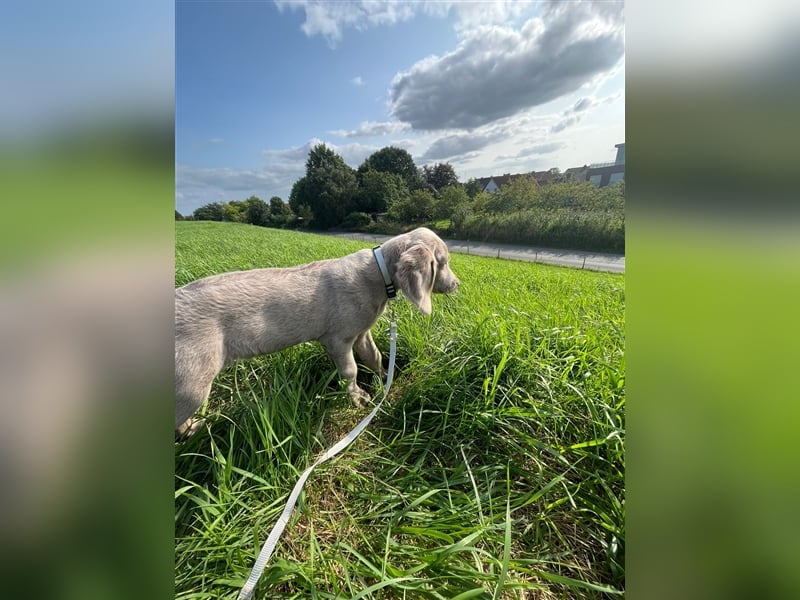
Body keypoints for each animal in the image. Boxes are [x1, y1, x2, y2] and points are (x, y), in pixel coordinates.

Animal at [175, 227, 462, 434]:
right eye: (444, 262)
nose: (457, 284)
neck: (379, 274)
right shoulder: (338, 339)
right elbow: (350, 370)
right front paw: (358, 399)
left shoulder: (361, 332)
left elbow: (374, 356)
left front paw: (385, 379)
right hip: (191, 382)